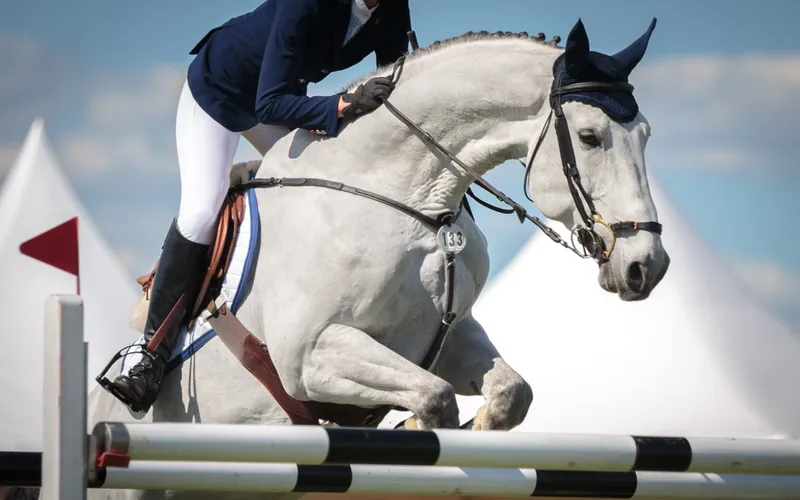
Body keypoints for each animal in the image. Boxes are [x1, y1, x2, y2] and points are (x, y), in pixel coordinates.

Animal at [13, 17, 669, 500]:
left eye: (647, 135)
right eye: (589, 137)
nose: (647, 266)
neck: (412, 194)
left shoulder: (445, 335)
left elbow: (511, 393)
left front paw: (469, 433)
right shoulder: (310, 355)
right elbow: (433, 398)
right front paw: (422, 434)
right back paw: (137, 376)